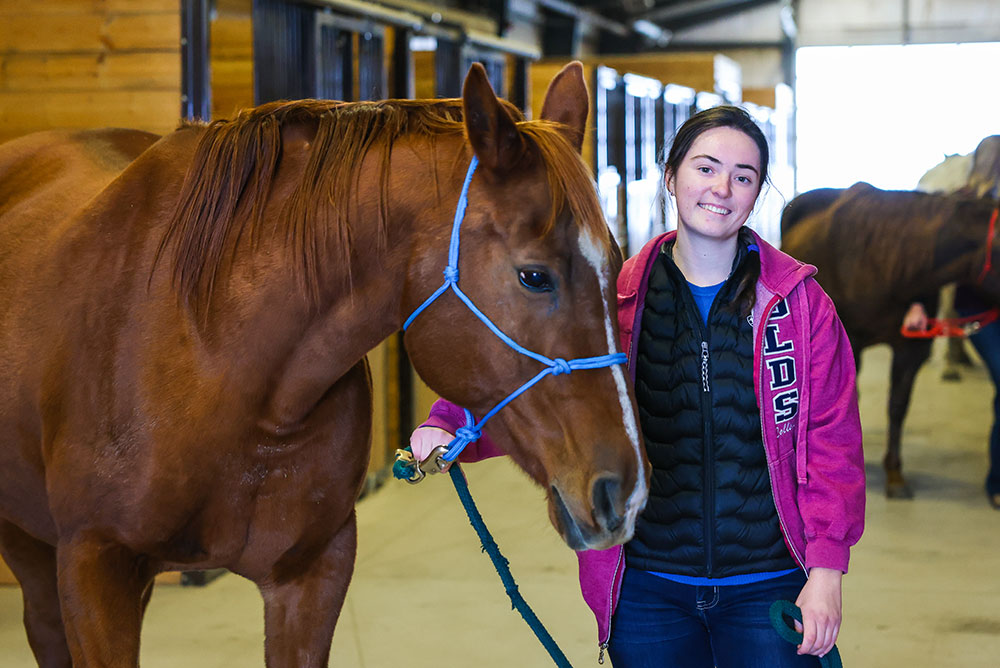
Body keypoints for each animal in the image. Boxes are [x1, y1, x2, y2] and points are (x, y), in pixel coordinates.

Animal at [0, 60, 648, 664]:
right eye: (534, 276)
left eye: (617, 263)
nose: (627, 491)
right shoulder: (94, 566)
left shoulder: (312, 574)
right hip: (33, 548)